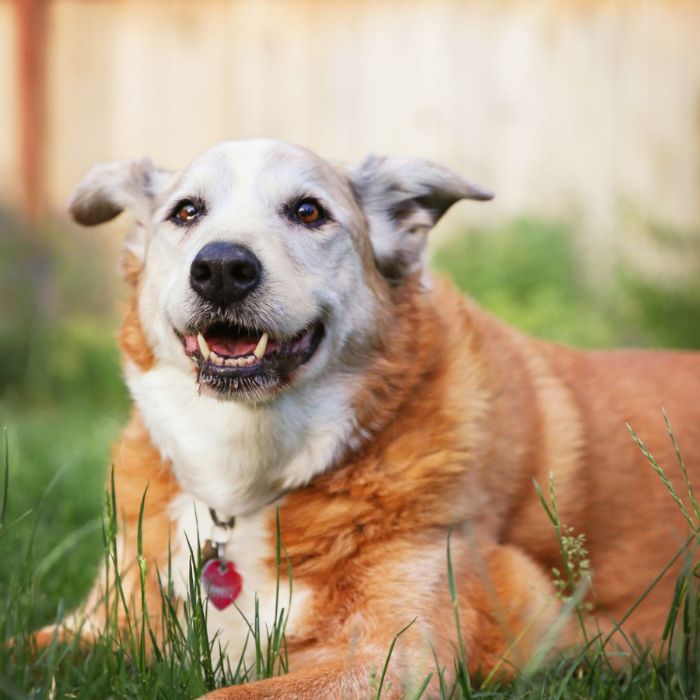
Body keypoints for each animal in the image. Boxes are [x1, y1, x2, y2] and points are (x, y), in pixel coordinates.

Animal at [39, 139, 700, 696]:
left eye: (308, 211)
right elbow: (31, 646)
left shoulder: (392, 657)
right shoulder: (98, 624)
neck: (246, 485)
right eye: (186, 212)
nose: (222, 267)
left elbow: (219, 694)